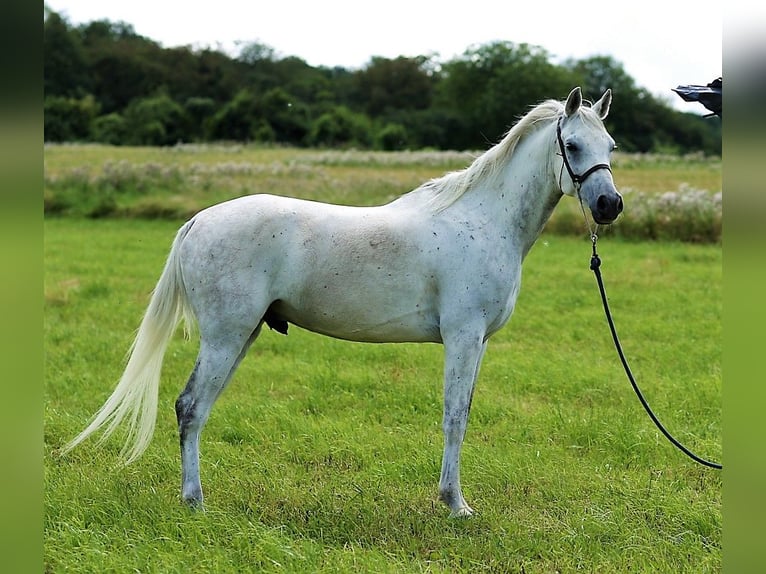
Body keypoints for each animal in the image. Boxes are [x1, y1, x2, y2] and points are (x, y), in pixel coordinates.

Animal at [64, 89, 624, 516]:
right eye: (571, 144)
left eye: (611, 146)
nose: (609, 205)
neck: (482, 220)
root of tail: (198, 220)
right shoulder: (463, 338)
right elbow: (454, 417)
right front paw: (455, 505)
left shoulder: (478, 343)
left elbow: (460, 413)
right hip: (225, 336)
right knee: (190, 407)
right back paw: (195, 502)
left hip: (241, 335)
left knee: (196, 408)